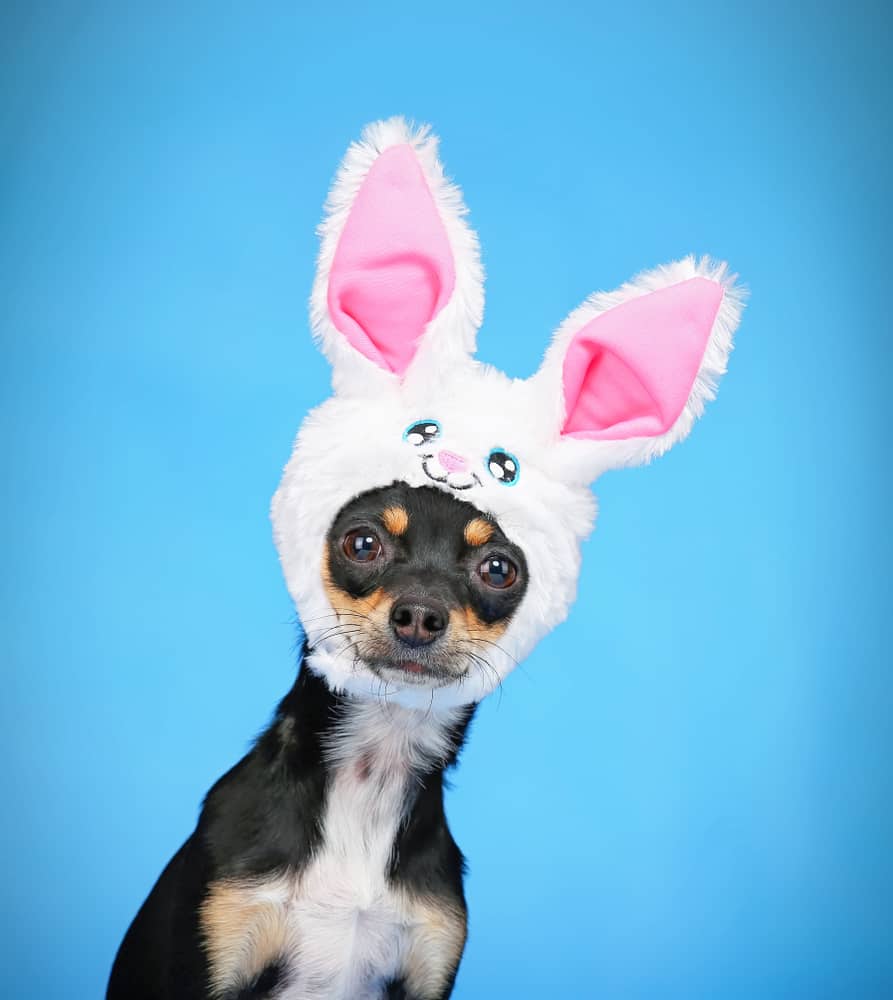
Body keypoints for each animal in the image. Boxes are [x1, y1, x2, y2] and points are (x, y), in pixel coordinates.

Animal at [108, 115, 744, 992]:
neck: (372, 772)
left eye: (497, 568)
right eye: (363, 542)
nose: (417, 616)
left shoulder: (426, 967)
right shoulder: (213, 955)